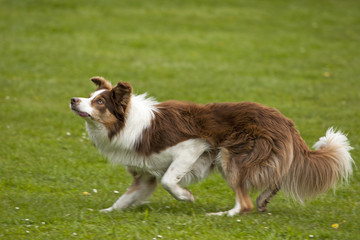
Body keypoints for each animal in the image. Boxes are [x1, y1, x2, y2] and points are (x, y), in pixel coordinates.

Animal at [70, 77, 354, 216]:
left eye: (99, 102)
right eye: (90, 96)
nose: (73, 99)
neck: (128, 123)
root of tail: (285, 121)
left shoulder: (191, 147)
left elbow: (169, 181)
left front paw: (186, 196)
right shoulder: (144, 176)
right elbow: (125, 199)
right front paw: (106, 212)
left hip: (232, 158)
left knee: (244, 204)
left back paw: (221, 214)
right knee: (274, 182)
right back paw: (262, 201)